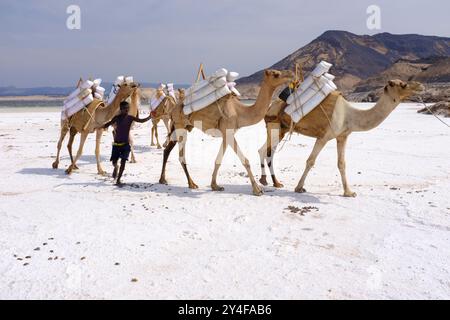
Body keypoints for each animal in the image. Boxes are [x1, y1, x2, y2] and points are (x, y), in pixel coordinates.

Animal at [156, 69, 294, 195]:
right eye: (276, 74)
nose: (291, 75)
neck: (240, 112)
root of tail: (174, 107)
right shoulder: (229, 132)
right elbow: (245, 161)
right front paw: (257, 190)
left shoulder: (227, 134)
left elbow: (218, 160)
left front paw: (215, 186)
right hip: (180, 127)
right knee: (181, 156)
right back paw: (191, 183)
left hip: (179, 127)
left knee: (167, 150)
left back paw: (163, 179)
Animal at [258, 79, 424, 196]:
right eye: (403, 84)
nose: (421, 86)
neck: (349, 116)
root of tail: (271, 105)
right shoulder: (324, 136)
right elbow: (311, 161)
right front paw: (299, 188)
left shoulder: (342, 136)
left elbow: (342, 163)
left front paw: (349, 192)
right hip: (274, 126)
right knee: (266, 151)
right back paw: (268, 181)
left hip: (282, 129)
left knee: (266, 150)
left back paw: (273, 182)